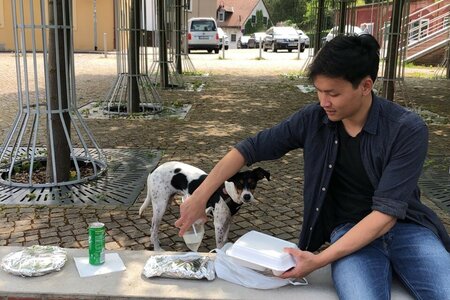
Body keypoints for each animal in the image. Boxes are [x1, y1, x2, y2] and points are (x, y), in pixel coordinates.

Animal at [139, 162, 268, 251]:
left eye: (253, 183)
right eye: (239, 183)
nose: (247, 196)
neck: (229, 193)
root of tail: (154, 170)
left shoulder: (228, 220)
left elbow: (225, 240)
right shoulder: (219, 224)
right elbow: (220, 244)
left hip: (166, 202)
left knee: (152, 229)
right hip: (160, 206)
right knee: (154, 229)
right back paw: (157, 249)